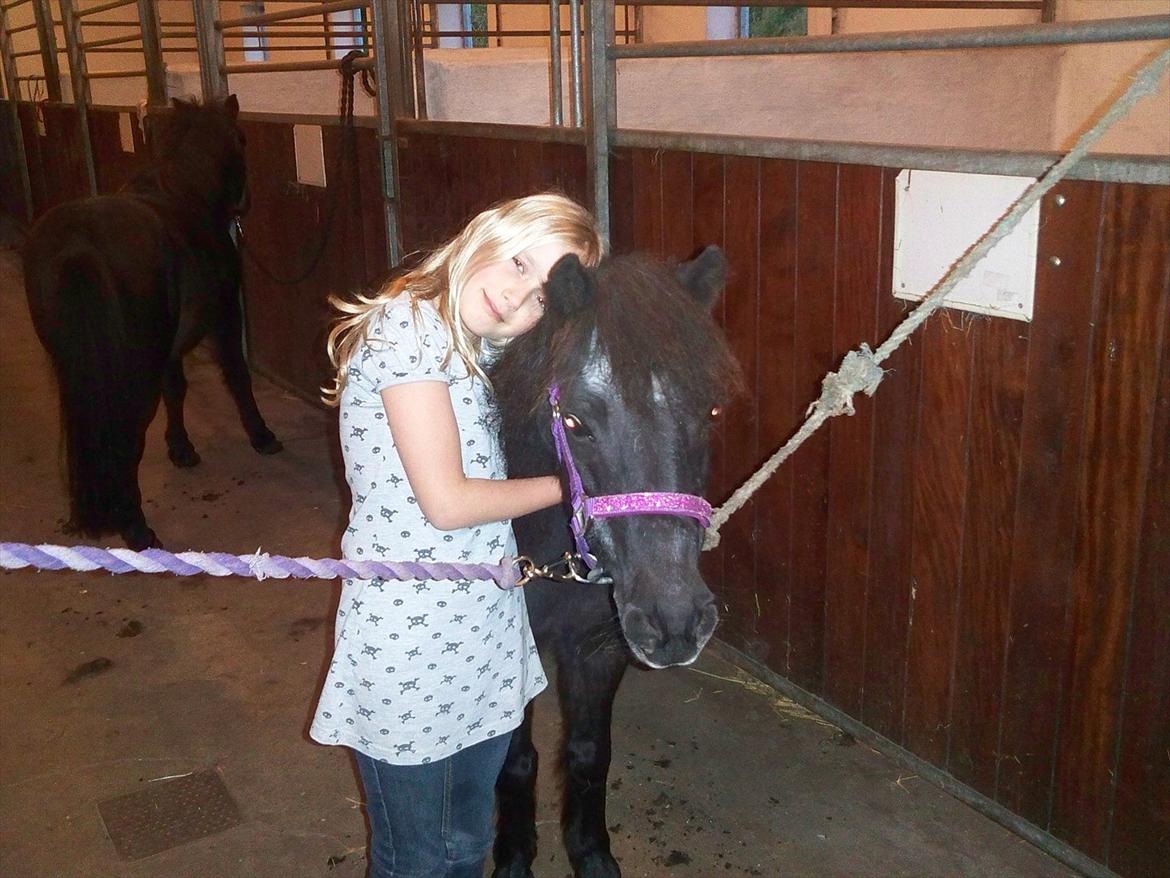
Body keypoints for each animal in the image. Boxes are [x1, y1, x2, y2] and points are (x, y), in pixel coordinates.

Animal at [21, 96, 281, 551]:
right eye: (242, 138)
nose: (244, 202)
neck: (187, 194)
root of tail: (77, 245)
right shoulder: (225, 314)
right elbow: (236, 375)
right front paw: (261, 435)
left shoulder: (169, 348)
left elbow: (175, 389)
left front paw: (181, 449)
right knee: (127, 434)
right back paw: (136, 527)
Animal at [490, 246, 743, 878]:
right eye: (574, 421)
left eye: (711, 410)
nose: (675, 621)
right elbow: (516, 756)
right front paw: (514, 855)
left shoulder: (598, 649)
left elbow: (587, 755)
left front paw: (591, 853)